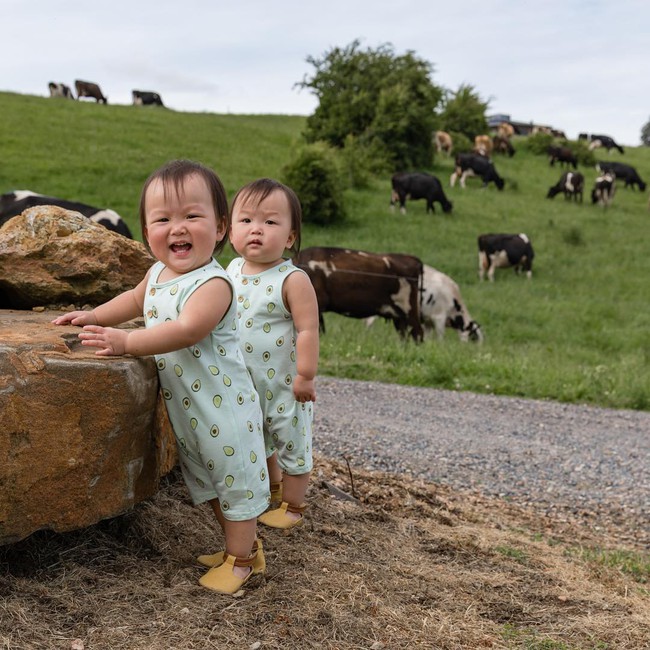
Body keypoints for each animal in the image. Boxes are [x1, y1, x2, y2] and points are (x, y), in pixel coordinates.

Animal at [292, 246, 422, 342]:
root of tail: (413, 259)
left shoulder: (318, 304)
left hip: (409, 309)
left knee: (418, 334)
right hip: (399, 316)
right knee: (404, 336)